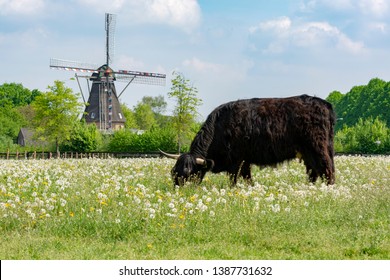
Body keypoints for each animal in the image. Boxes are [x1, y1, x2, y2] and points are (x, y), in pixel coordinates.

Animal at [161, 94, 336, 186]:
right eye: (174, 172)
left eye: (189, 173)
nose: (178, 191)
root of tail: (323, 103)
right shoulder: (245, 159)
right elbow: (247, 176)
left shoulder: (237, 159)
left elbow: (234, 177)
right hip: (311, 151)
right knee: (314, 171)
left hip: (317, 148)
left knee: (326, 168)